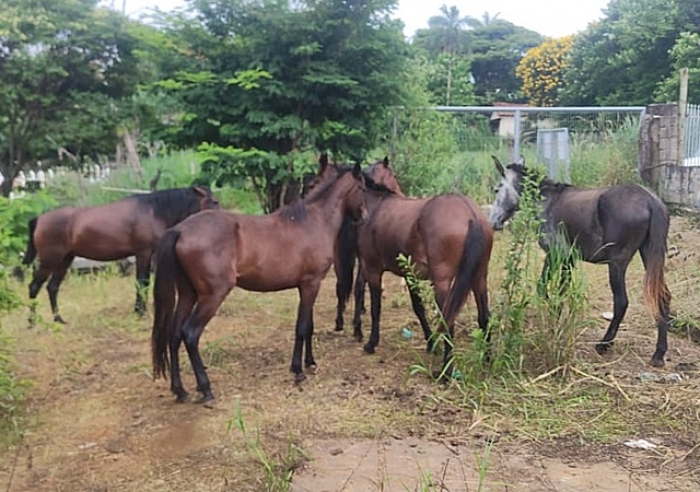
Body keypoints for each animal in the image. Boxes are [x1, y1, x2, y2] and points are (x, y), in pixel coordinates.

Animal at [23, 186, 219, 324]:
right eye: (215, 201)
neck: (153, 211)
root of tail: (39, 219)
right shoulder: (143, 253)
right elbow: (141, 282)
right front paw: (140, 311)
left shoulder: (148, 255)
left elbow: (145, 283)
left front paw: (139, 309)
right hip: (49, 261)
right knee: (34, 287)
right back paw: (32, 322)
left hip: (64, 260)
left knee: (52, 287)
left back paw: (59, 319)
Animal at [151, 163, 370, 402]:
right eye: (362, 187)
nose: (364, 216)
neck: (315, 222)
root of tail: (180, 230)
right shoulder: (311, 284)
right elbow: (302, 327)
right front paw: (298, 371)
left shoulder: (308, 286)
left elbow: (308, 326)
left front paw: (310, 363)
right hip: (212, 296)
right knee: (190, 334)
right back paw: (206, 389)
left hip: (188, 295)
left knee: (174, 335)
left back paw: (180, 390)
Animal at [348, 171, 492, 374]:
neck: (376, 207)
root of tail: (471, 214)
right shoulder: (410, 275)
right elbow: (418, 307)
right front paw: (431, 343)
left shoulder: (372, 269)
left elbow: (375, 307)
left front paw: (370, 343)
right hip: (479, 278)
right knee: (484, 317)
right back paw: (487, 360)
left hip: (443, 284)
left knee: (448, 320)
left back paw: (446, 372)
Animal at [486, 157, 672, 366]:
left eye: (497, 189)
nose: (493, 222)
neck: (547, 201)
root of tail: (650, 201)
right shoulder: (568, 260)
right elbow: (561, 292)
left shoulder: (556, 255)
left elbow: (547, 290)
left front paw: (554, 322)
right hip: (650, 256)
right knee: (663, 297)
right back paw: (658, 353)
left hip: (617, 264)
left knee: (621, 302)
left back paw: (604, 344)